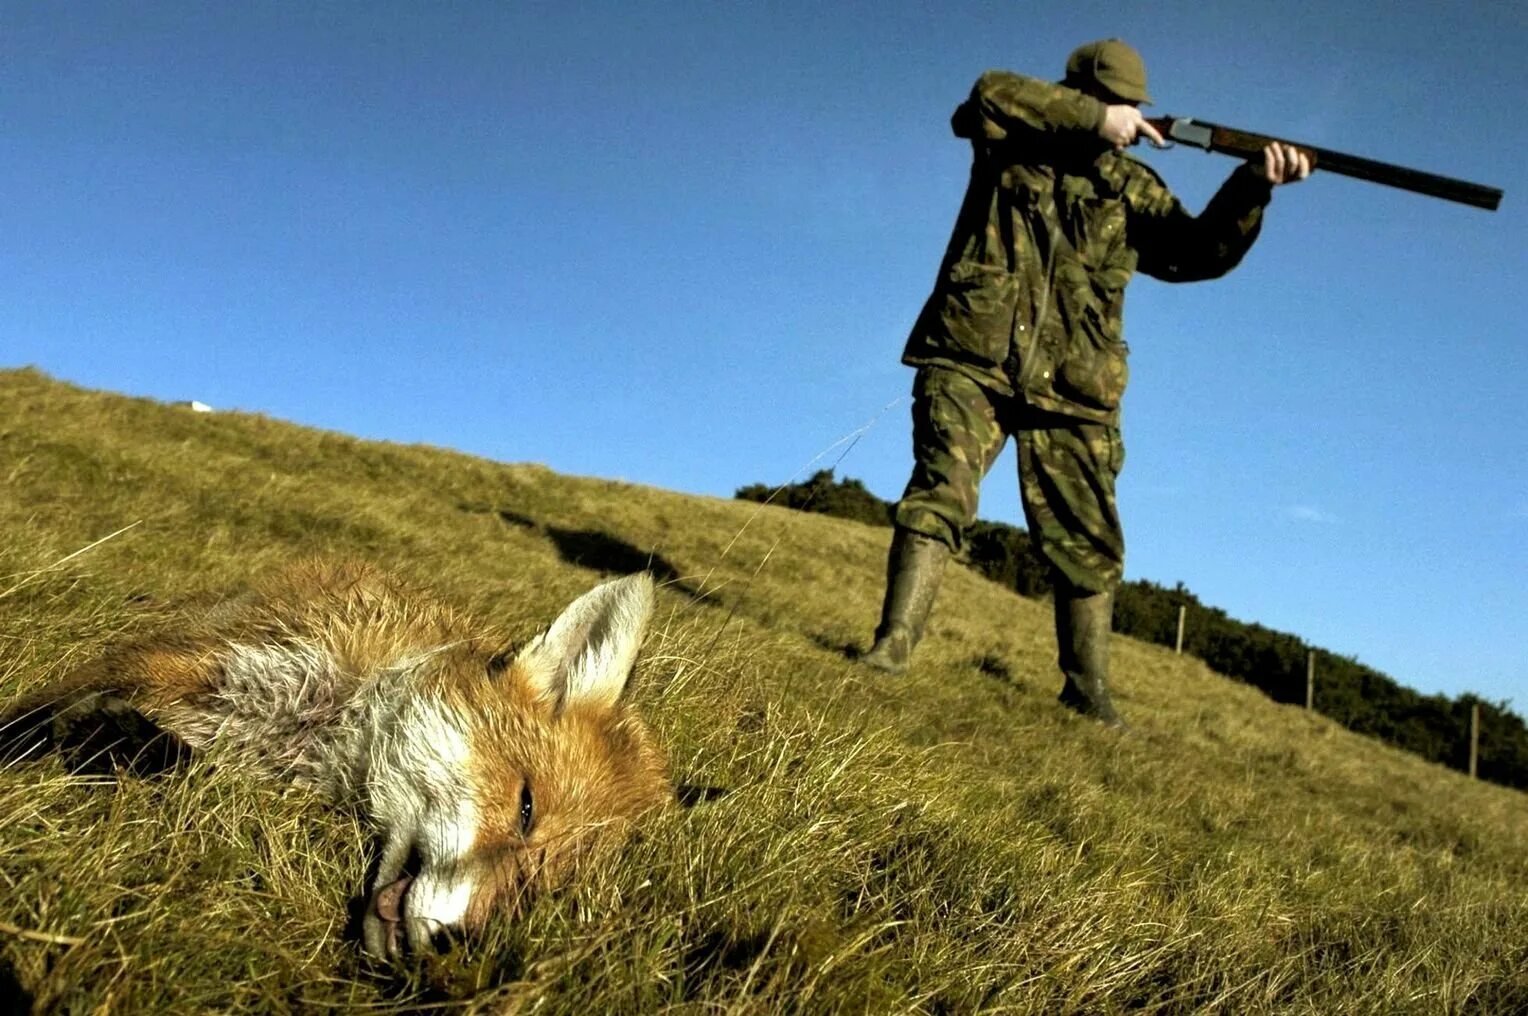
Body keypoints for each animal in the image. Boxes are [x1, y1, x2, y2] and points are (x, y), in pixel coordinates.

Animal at [1, 559, 669, 953]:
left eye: (540, 892)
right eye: (526, 808)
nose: (460, 945)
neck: (329, 723)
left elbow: (177, 759)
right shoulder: (197, 665)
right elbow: (33, 717)